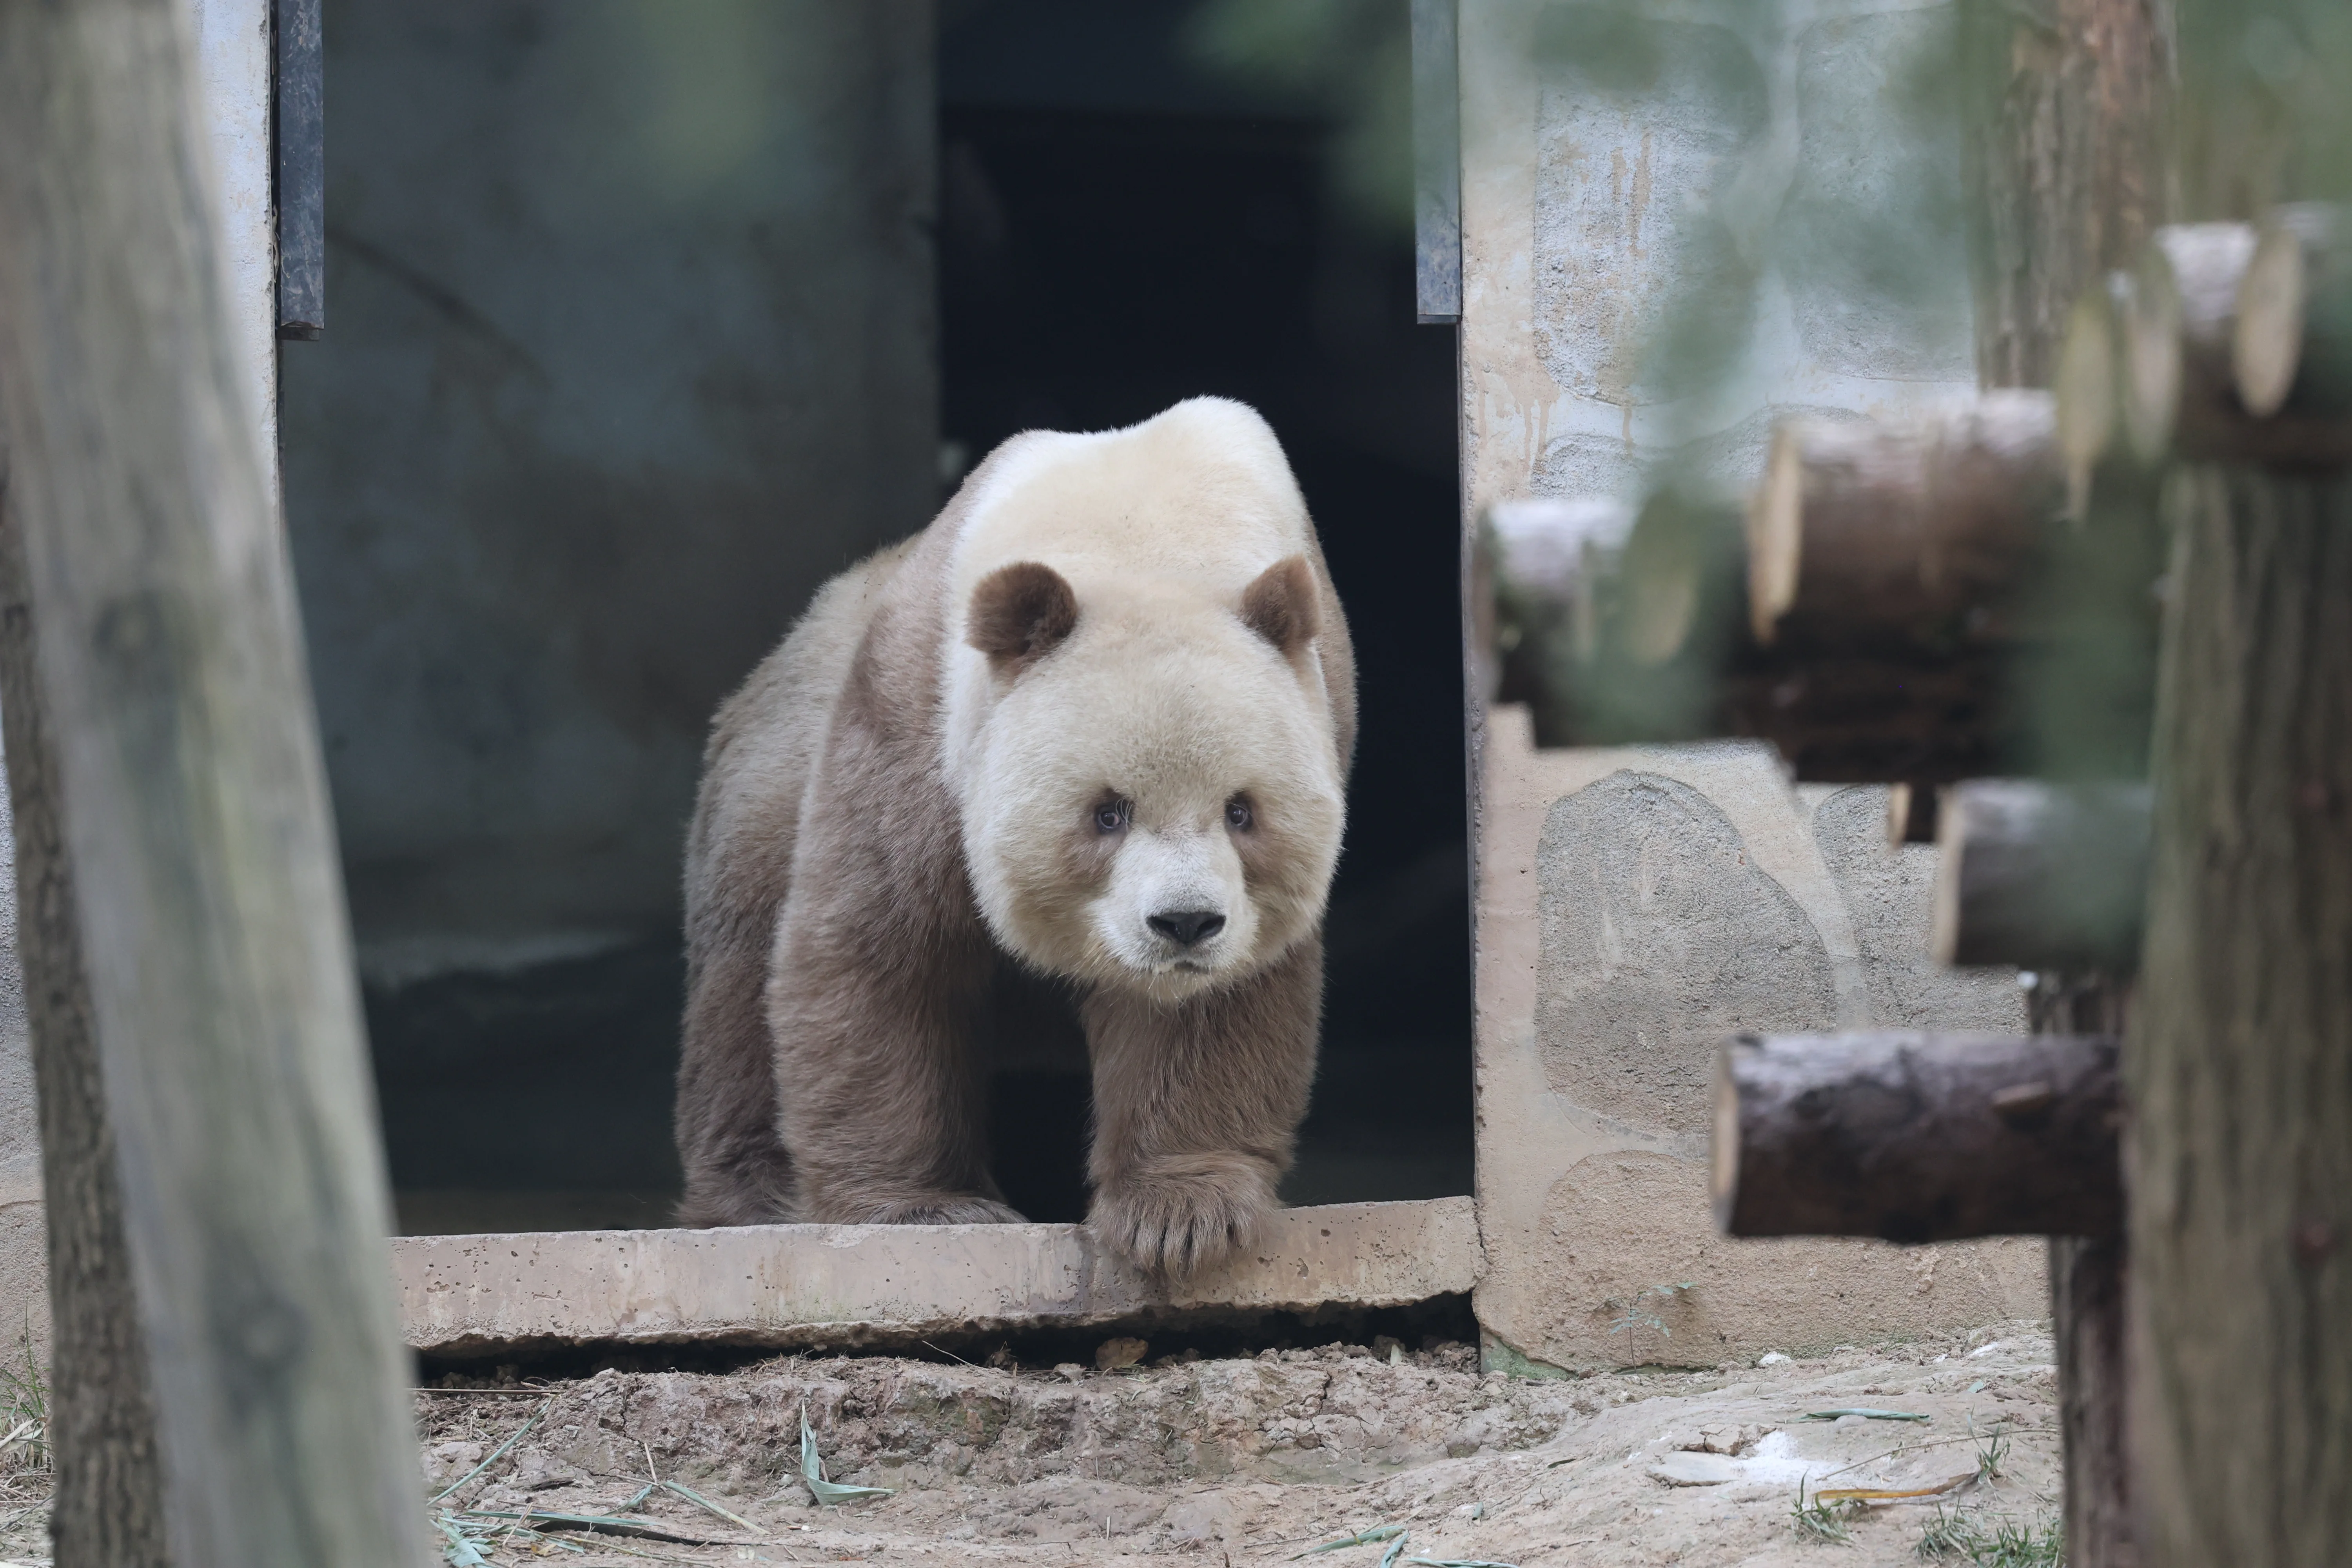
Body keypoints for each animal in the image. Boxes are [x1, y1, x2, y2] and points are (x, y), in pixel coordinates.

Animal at [673, 397, 1355, 1275]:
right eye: (1108, 811)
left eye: (1242, 811)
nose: (1185, 923)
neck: (1148, 532)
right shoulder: (922, 714)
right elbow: (882, 949)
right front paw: (925, 1210)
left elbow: (1210, 1007)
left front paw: (1179, 1214)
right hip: (767, 786)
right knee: (740, 987)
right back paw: (752, 1198)